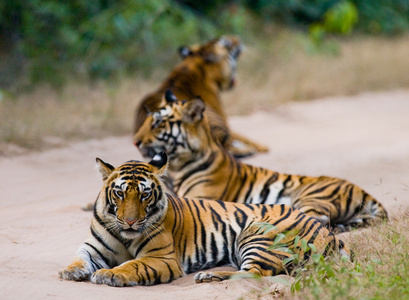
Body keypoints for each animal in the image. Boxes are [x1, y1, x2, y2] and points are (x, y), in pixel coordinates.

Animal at [59, 154, 350, 288]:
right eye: (120, 193)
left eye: (144, 194)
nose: (130, 222)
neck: (125, 235)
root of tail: (328, 233)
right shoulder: (93, 247)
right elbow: (79, 257)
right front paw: (70, 271)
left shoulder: (161, 258)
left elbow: (132, 264)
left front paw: (109, 274)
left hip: (256, 235)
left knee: (256, 273)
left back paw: (208, 275)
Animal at [132, 92, 388, 232]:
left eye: (158, 123)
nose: (134, 142)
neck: (176, 167)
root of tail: (363, 190)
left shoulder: (197, 199)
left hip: (311, 197)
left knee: (316, 219)